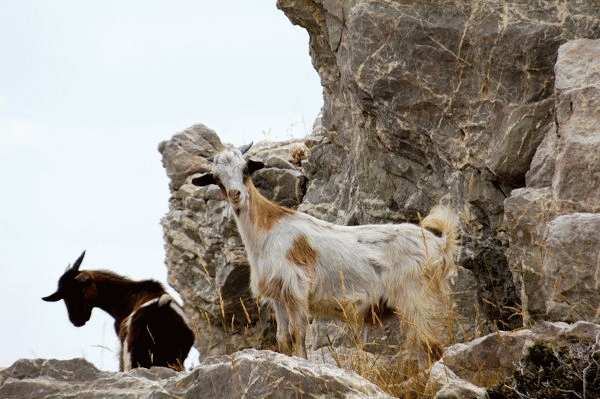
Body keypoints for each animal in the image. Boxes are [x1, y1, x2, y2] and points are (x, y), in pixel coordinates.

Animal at [42, 253, 192, 372]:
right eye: (63, 297)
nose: (76, 320)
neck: (126, 297)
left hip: (133, 353)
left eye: (78, 290)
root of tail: (159, 308)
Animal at [192, 145, 460, 364]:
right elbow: (282, 337)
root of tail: (440, 244)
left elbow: (297, 335)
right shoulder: (278, 296)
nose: (236, 195)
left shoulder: (296, 290)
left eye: (245, 169)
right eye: (216, 178)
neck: (266, 230)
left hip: (417, 299)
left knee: (431, 346)